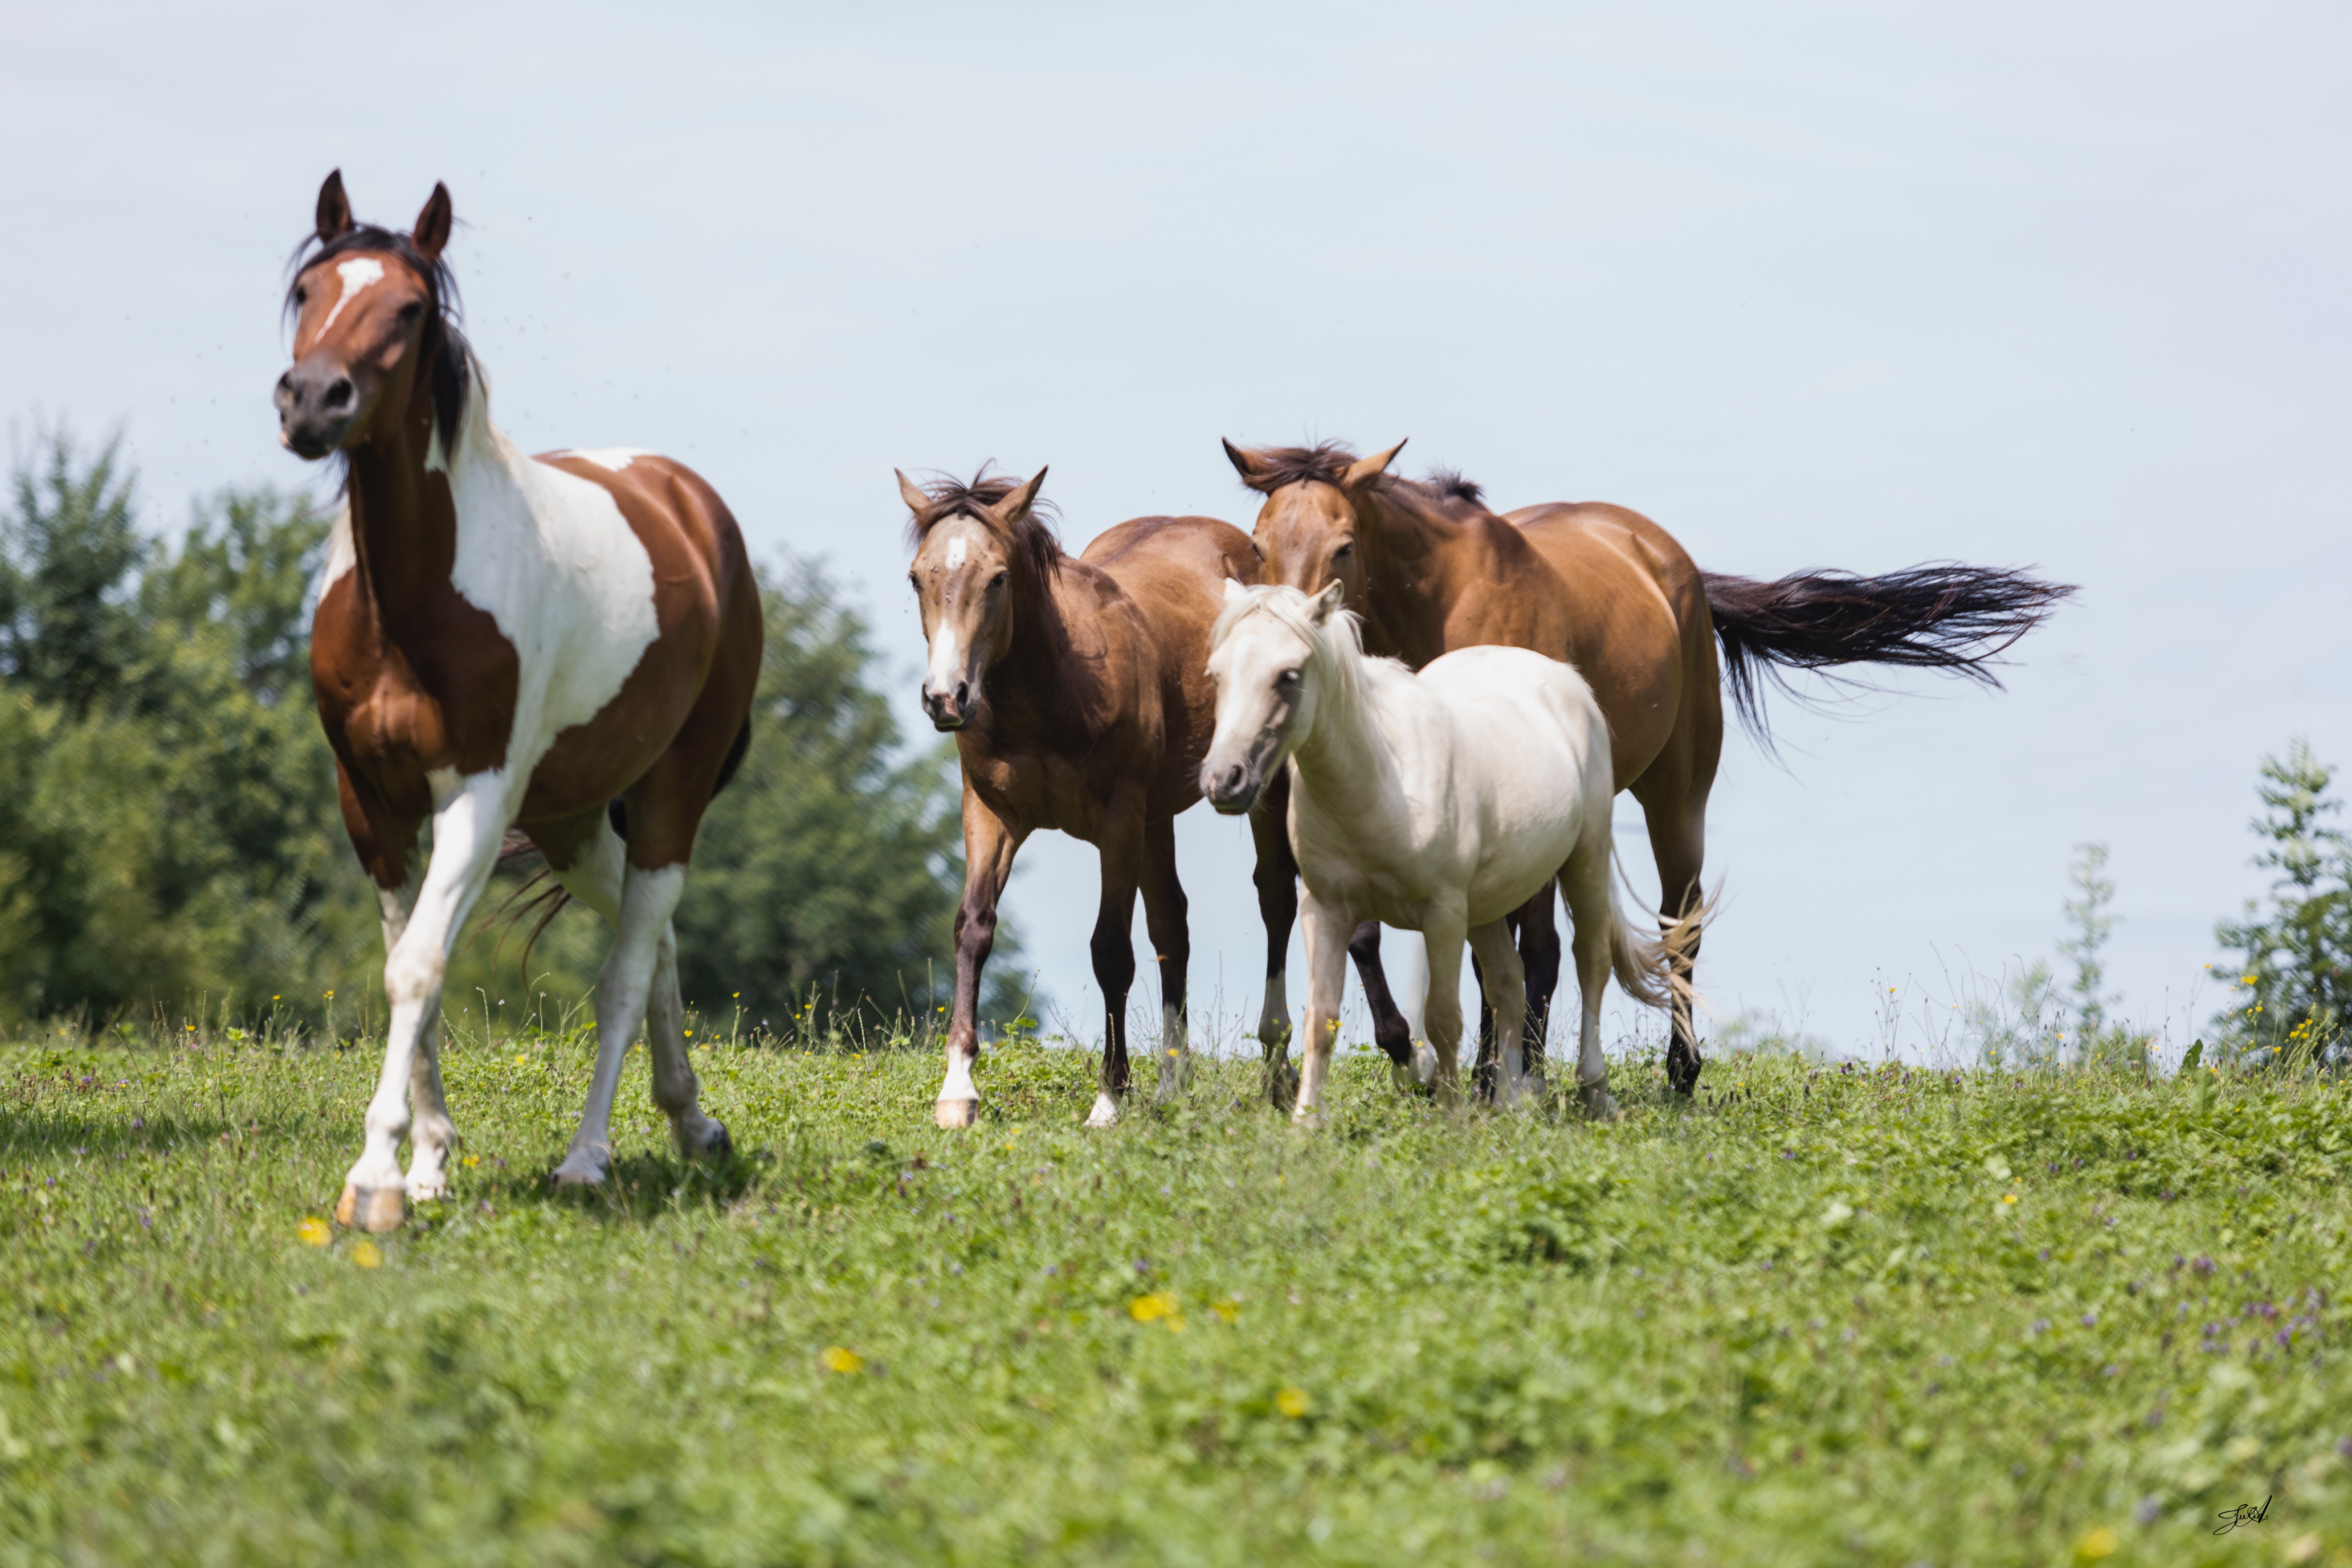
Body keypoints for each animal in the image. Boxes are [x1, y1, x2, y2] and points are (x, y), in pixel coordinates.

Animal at [279, 169, 762, 1222]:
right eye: (307, 290)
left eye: (409, 309)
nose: (313, 401)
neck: (415, 602)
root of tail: (690, 504)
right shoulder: (369, 803)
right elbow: (405, 968)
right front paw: (424, 1163)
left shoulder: (477, 794)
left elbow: (420, 966)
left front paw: (373, 1176)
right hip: (570, 819)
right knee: (652, 937)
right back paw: (692, 1121)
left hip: (668, 792)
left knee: (626, 966)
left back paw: (588, 1156)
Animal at [893, 465, 1289, 1128]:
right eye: (919, 576)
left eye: (997, 578)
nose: (946, 697)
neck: (1052, 688)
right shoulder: (990, 813)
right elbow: (973, 928)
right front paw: (957, 1089)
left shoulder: (1119, 820)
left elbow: (1111, 950)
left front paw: (1109, 1096)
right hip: (1157, 817)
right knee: (1172, 926)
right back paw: (1172, 1084)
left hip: (1259, 785)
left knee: (1276, 897)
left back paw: (1280, 1074)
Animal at [1204, 583, 1684, 1124]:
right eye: (1217, 673)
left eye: (1287, 676)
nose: (1225, 780)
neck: (1380, 779)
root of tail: (1566, 680)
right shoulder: (1324, 910)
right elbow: (1320, 1019)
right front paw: (1306, 1122)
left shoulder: (1443, 913)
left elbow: (1442, 1018)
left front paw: (1451, 1117)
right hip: (1488, 908)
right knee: (1508, 982)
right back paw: (1510, 1101)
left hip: (1586, 859)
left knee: (1592, 962)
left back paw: (1594, 1090)